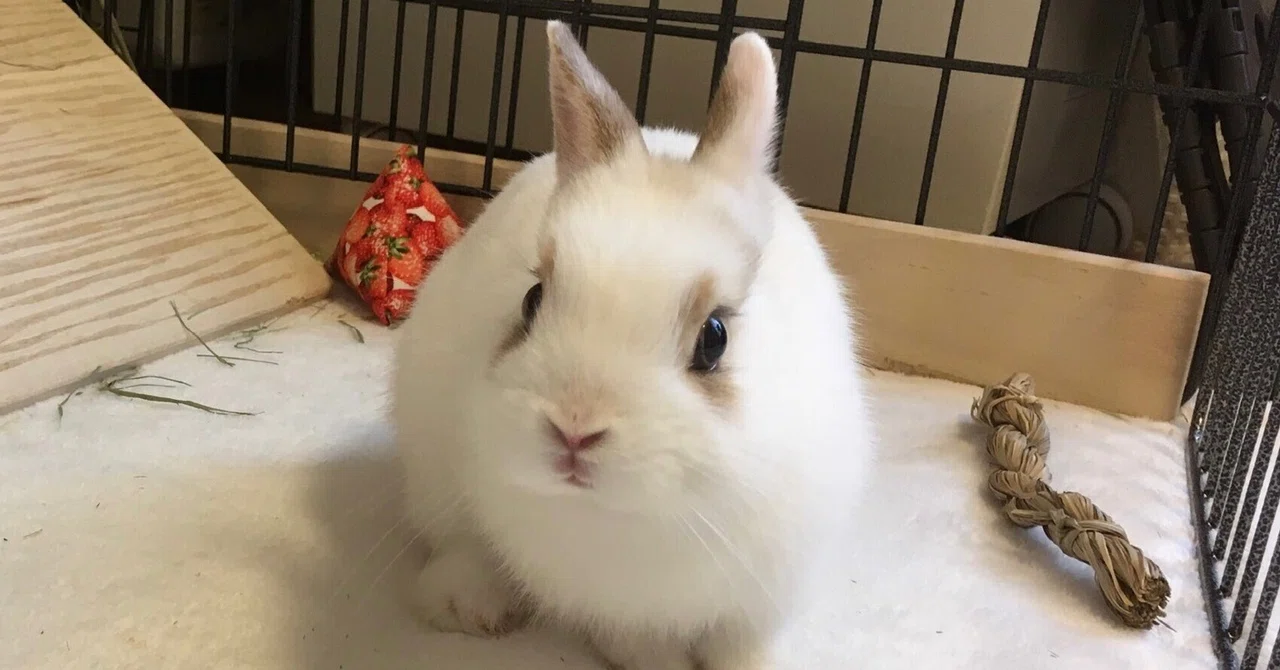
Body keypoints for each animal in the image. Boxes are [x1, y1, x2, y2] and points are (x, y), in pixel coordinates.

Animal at [392, 20, 874, 670]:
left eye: (715, 338)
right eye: (532, 300)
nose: (574, 428)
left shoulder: (763, 595)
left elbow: (744, 646)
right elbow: (638, 644)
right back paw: (467, 606)